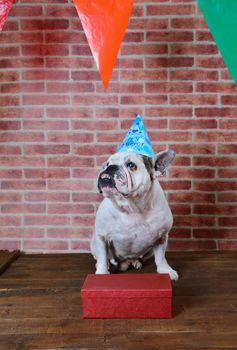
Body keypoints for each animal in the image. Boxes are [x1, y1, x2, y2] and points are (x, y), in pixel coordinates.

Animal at [90, 149, 178, 280]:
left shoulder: (161, 236)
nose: (110, 167)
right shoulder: (101, 237)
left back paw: (136, 262)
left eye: (131, 165)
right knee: (103, 258)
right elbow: (102, 258)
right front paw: (101, 273)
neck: (131, 208)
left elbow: (161, 257)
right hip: (93, 244)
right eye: (106, 164)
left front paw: (166, 270)